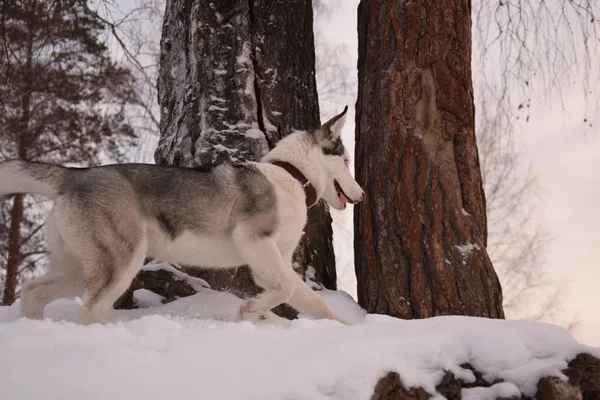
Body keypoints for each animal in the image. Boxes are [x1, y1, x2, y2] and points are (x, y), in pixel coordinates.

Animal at [0, 106, 364, 324]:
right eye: (347, 161)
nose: (361, 196)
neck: (291, 176)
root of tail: (74, 176)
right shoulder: (253, 240)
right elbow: (286, 289)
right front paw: (250, 310)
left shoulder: (274, 261)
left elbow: (313, 302)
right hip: (122, 261)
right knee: (92, 308)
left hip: (80, 266)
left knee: (33, 291)